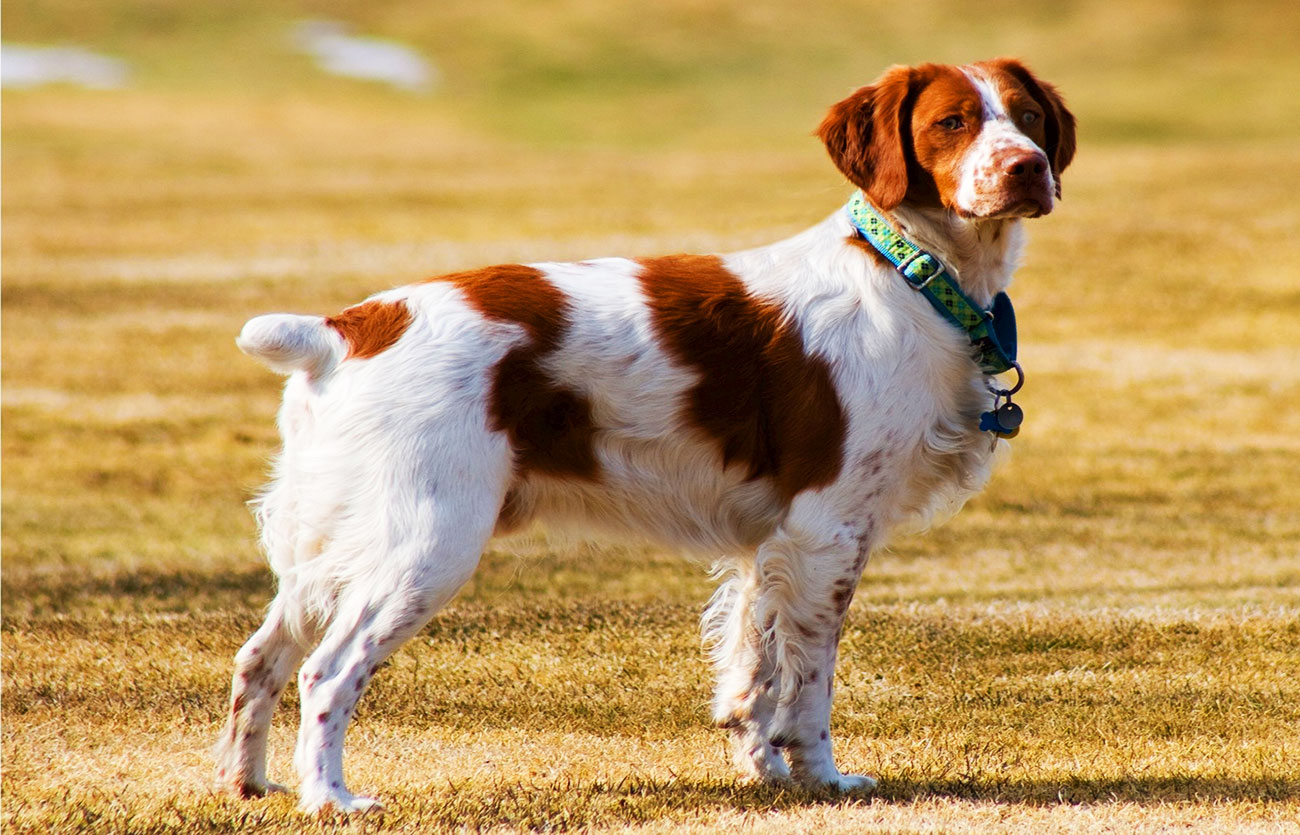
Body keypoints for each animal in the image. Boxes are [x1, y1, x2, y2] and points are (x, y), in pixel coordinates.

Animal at [218, 56, 1076, 806]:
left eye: (1028, 116)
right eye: (952, 122)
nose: (1028, 167)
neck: (910, 276)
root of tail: (347, 326)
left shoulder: (771, 543)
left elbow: (754, 669)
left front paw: (764, 771)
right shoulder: (829, 529)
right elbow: (808, 681)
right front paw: (823, 777)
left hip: (331, 544)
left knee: (260, 656)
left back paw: (248, 783)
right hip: (426, 540)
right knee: (326, 671)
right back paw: (330, 796)